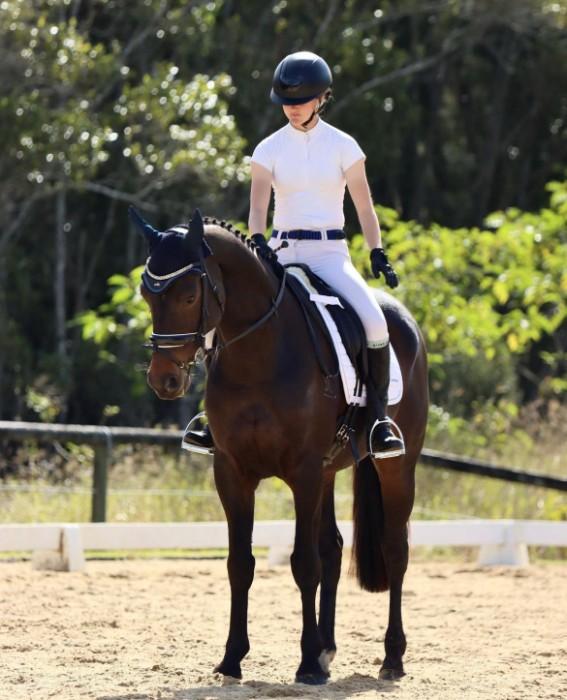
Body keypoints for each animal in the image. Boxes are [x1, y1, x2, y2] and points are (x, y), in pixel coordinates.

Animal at [132, 207, 429, 684]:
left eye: (190, 294)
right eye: (146, 292)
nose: (165, 379)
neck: (259, 352)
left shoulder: (303, 471)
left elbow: (303, 564)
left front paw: (305, 664)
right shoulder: (232, 472)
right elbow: (240, 564)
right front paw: (233, 658)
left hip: (397, 467)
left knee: (394, 548)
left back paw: (391, 658)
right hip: (328, 472)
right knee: (333, 547)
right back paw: (328, 650)